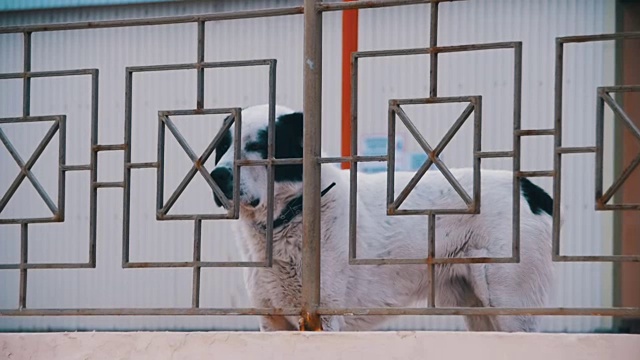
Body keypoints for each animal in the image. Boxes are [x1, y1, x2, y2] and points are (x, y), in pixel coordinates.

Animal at [211, 103, 556, 332]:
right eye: (222, 147)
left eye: (258, 146)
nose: (216, 176)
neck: (292, 212)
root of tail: (531, 188)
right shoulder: (272, 319)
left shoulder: (326, 317)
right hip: (479, 310)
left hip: (512, 306)